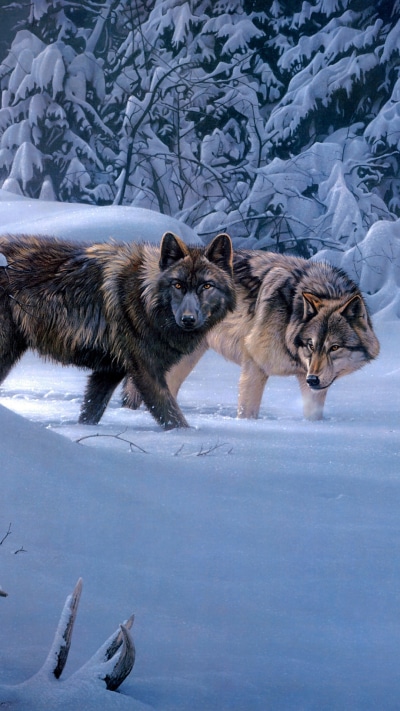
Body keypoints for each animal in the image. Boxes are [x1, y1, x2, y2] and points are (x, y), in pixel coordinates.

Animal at [0, 232, 235, 429]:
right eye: (178, 285)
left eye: (206, 286)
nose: (188, 320)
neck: (143, 297)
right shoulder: (146, 372)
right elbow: (172, 417)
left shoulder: (109, 371)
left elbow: (90, 412)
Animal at [157, 250, 380, 421]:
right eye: (311, 345)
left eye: (334, 347)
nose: (313, 380)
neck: (290, 316)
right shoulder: (254, 364)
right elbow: (247, 412)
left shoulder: (307, 377)